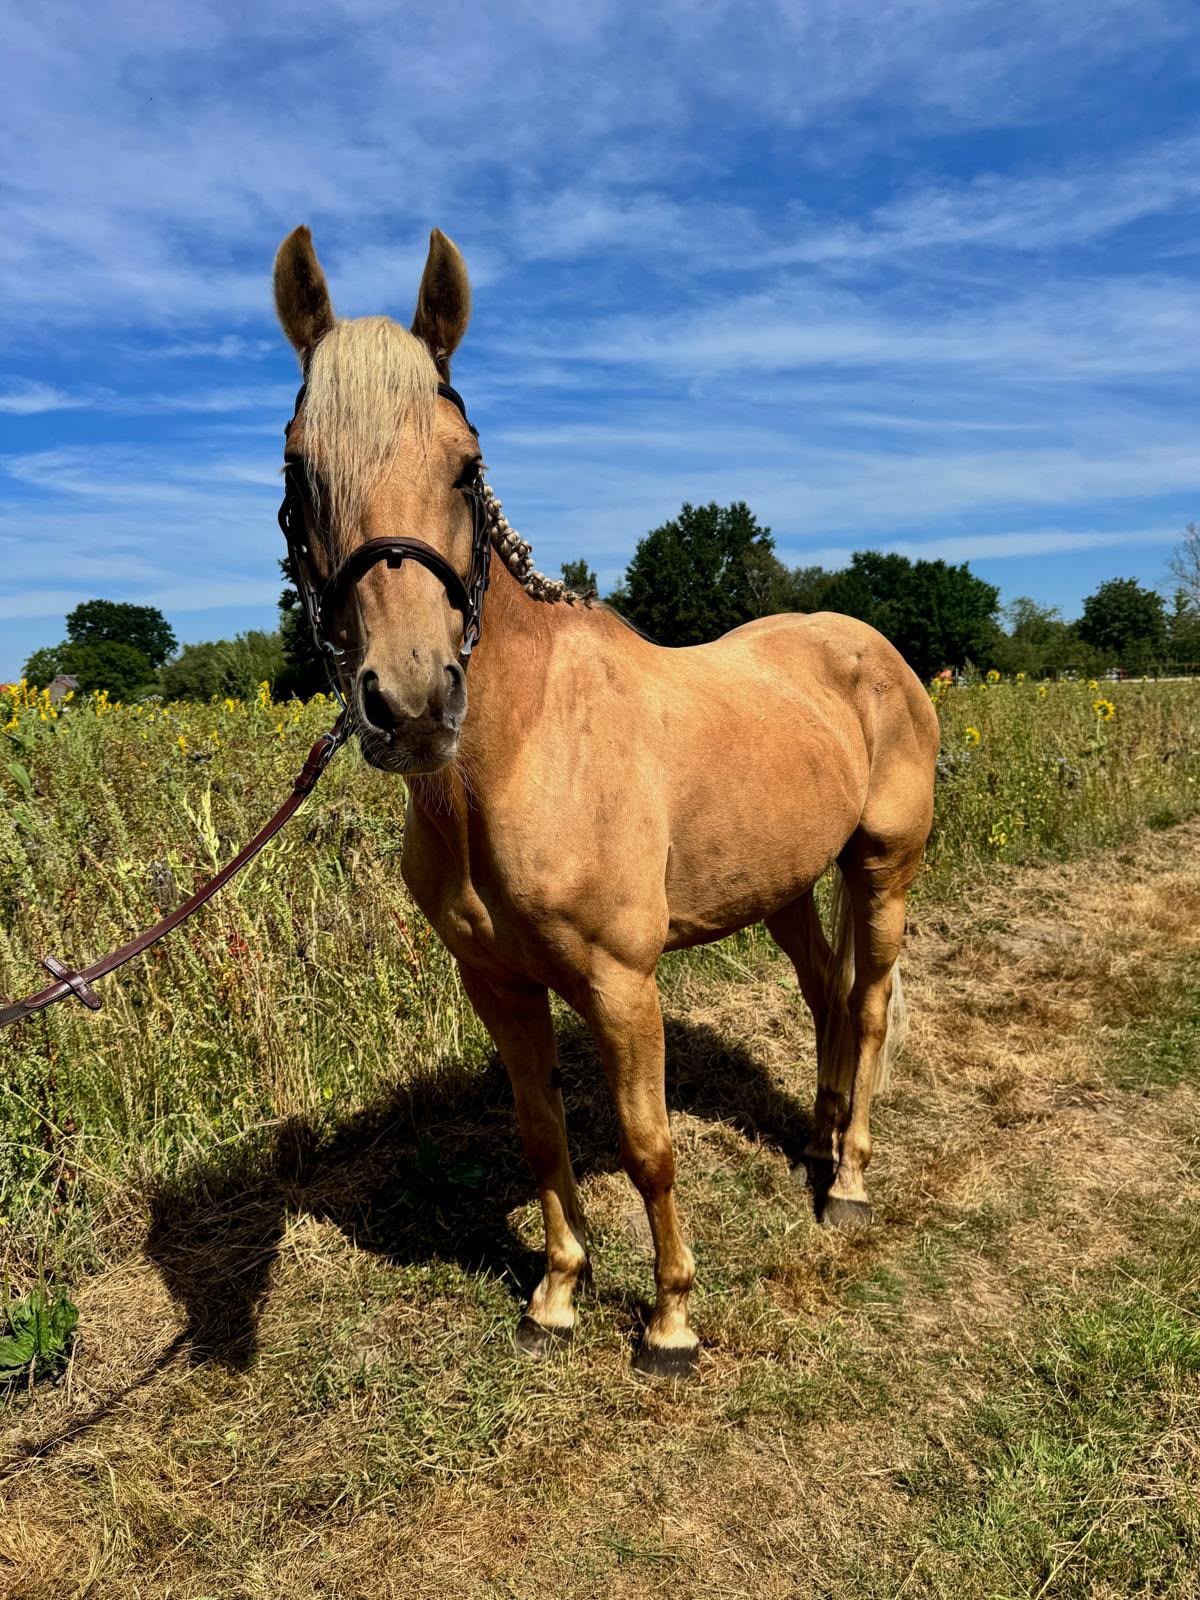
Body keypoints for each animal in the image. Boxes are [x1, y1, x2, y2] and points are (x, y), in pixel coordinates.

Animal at [271, 225, 940, 1378]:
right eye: (301, 468)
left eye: (465, 465)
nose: (411, 704)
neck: (523, 751)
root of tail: (874, 648)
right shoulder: (497, 982)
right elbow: (543, 1132)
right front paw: (556, 1296)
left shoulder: (624, 985)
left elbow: (646, 1145)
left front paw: (670, 1320)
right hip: (785, 887)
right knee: (824, 996)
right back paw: (813, 1145)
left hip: (881, 865)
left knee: (868, 1003)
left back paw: (847, 1180)